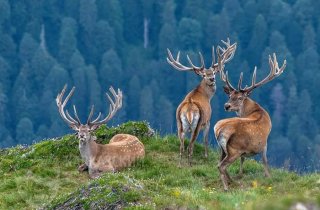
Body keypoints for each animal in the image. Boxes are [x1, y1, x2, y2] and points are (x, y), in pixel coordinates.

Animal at [214, 53, 286, 190]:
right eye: (230, 96)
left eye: (239, 97)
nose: (226, 106)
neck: (255, 110)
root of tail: (219, 130)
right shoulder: (264, 143)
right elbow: (265, 160)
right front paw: (268, 176)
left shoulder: (244, 151)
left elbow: (243, 160)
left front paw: (241, 174)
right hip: (234, 149)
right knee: (221, 166)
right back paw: (226, 187)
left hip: (222, 148)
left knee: (219, 163)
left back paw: (232, 181)